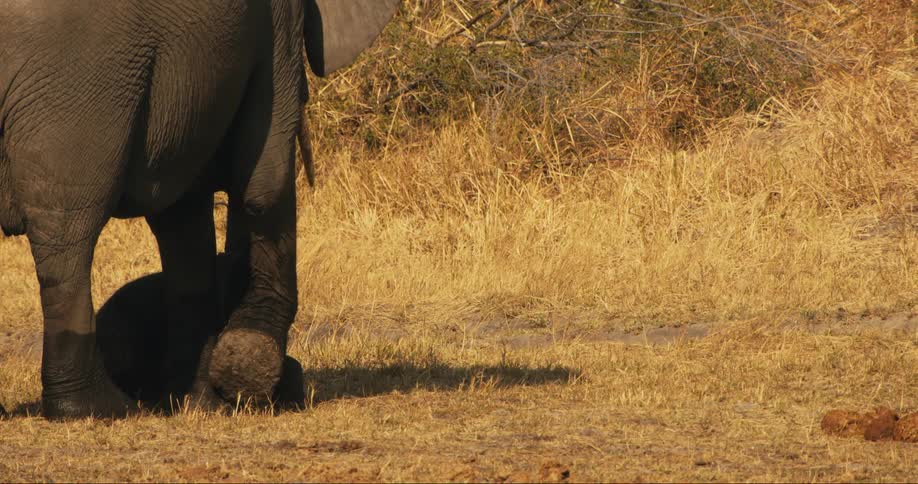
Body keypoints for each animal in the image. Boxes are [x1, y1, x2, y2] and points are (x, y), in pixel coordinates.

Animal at [0, 0, 399, 419]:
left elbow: (185, 217)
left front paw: (201, 401)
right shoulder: (278, 30)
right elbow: (264, 186)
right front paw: (244, 370)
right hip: (78, 74)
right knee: (68, 227)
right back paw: (98, 408)